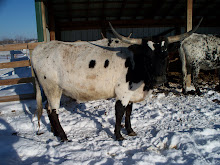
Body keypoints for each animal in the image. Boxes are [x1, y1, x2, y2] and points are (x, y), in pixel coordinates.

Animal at [31, 22, 201, 142]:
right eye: (147, 56)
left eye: (165, 55)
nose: (159, 79)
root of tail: (38, 49)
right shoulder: (122, 92)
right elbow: (120, 111)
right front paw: (119, 136)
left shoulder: (131, 92)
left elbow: (129, 112)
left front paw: (130, 130)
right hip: (52, 89)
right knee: (54, 112)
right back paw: (64, 136)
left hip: (49, 90)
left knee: (48, 109)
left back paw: (55, 133)